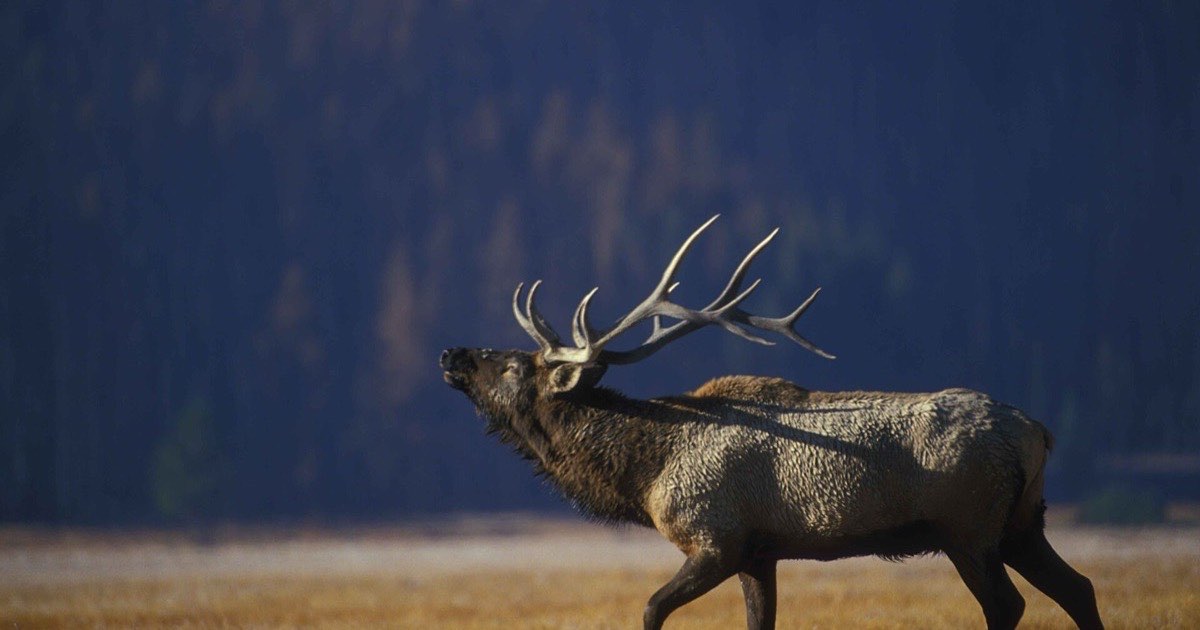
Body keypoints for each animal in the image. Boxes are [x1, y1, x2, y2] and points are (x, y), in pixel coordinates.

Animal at [439, 215, 1103, 629]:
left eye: (512, 364)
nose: (451, 353)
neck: (645, 473)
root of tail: (1038, 434)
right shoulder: (760, 555)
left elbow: (651, 608)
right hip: (1023, 523)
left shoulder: (716, 538)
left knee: (1008, 607)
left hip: (968, 528)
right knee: (1080, 589)